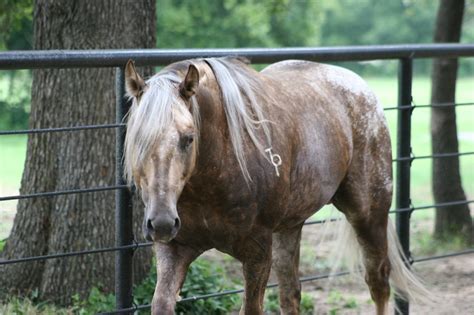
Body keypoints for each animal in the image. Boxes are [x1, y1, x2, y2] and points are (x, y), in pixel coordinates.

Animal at [122, 57, 430, 315]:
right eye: (137, 139)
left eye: (188, 138)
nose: (161, 222)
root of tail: (361, 89)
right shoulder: (174, 250)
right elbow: (161, 303)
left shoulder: (257, 254)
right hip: (289, 228)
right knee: (290, 293)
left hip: (368, 215)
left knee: (378, 282)